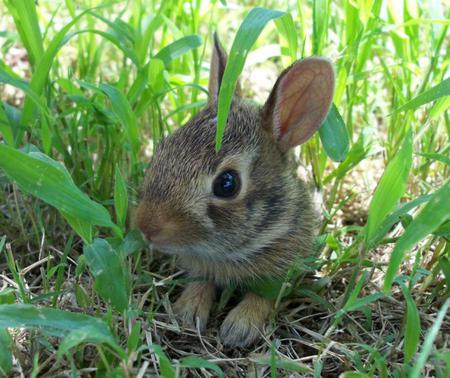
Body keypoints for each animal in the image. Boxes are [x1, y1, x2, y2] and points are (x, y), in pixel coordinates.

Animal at [136, 34, 334, 346]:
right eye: (163, 147)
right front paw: (188, 311)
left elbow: (263, 298)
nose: (146, 227)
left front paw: (239, 328)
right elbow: (201, 281)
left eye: (227, 184)